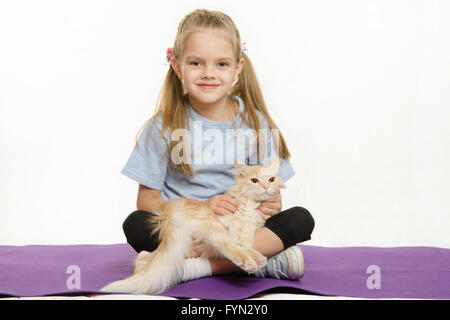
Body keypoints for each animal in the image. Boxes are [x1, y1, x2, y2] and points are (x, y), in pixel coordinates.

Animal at [101, 158, 284, 296]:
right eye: (254, 180)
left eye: (271, 179)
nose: (266, 187)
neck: (252, 205)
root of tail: (173, 208)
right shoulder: (233, 224)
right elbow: (238, 244)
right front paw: (251, 258)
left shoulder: (248, 229)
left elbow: (246, 243)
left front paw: (257, 255)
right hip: (211, 227)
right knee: (222, 246)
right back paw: (249, 263)